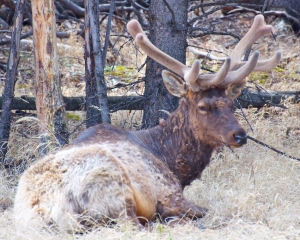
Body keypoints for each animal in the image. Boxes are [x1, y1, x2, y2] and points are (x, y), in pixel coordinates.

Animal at [14, 14, 282, 231]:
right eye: (203, 107)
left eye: (231, 104)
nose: (240, 135)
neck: (168, 157)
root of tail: (43, 210)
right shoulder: (167, 190)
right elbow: (208, 211)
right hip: (112, 187)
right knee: (135, 225)